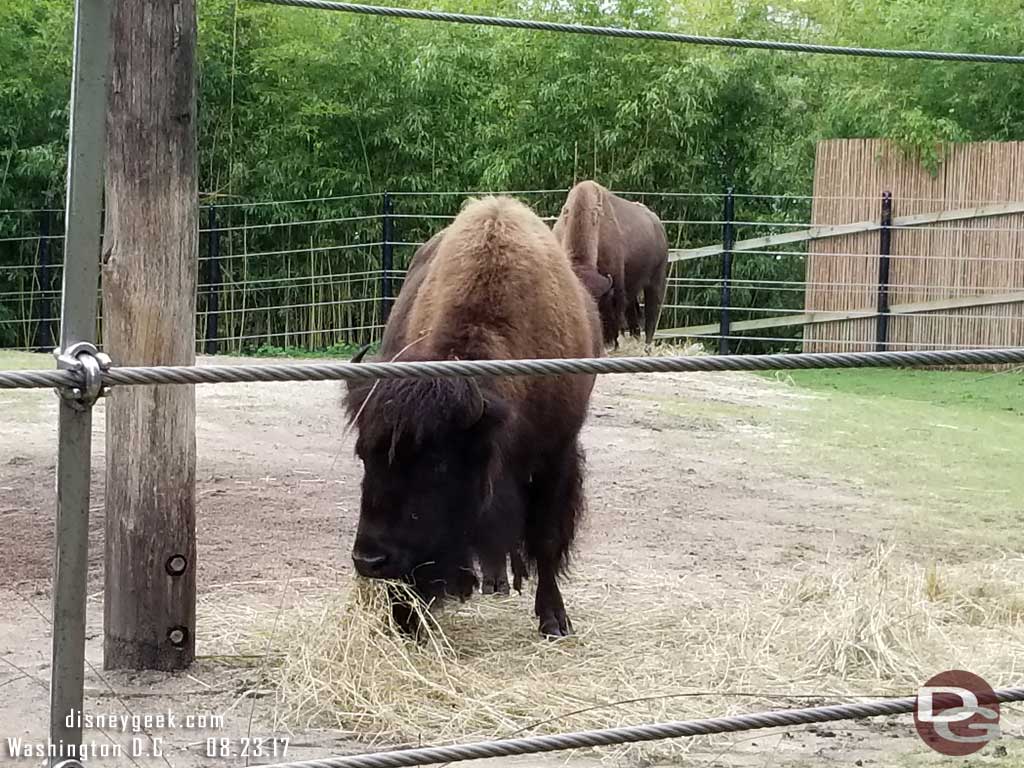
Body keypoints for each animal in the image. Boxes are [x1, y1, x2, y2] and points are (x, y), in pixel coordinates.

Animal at [344, 196, 598, 638]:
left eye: (438, 463)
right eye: (365, 456)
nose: (370, 561)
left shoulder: (556, 455)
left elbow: (546, 538)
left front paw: (554, 619)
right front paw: (410, 619)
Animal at [552, 180, 671, 348]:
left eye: (595, 304)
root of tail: (658, 225)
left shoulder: (615, 282)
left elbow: (616, 310)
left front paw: (612, 343)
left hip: (656, 280)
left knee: (651, 314)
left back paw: (646, 346)